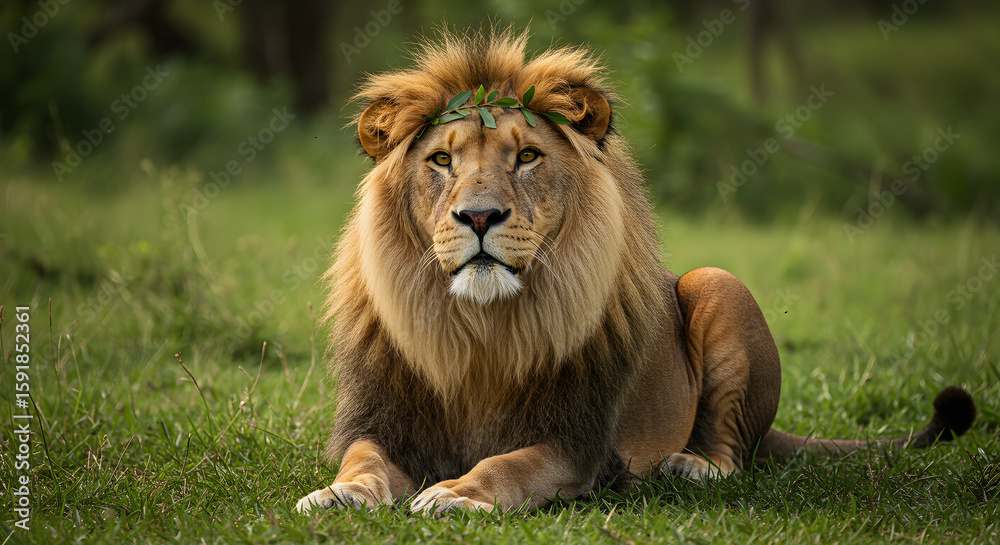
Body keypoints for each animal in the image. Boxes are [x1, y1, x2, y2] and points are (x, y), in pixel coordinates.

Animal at [296, 30, 976, 515]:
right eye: (441, 161)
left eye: (527, 156)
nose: (480, 215)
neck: (480, 329)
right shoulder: (384, 422)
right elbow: (362, 460)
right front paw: (337, 493)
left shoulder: (576, 444)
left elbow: (507, 465)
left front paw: (456, 492)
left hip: (716, 282)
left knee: (734, 451)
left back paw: (691, 465)